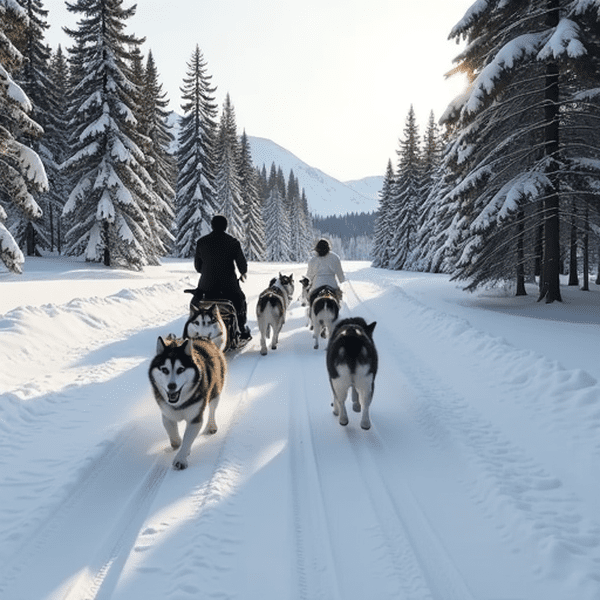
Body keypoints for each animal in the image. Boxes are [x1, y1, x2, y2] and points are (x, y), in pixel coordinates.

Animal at [149, 338, 226, 468]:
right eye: (164, 369)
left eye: (180, 369)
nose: (171, 386)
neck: (179, 403)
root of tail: (203, 339)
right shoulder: (167, 414)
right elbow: (175, 438)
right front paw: (179, 445)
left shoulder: (195, 418)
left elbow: (187, 439)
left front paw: (181, 458)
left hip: (215, 391)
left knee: (212, 409)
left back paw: (211, 425)